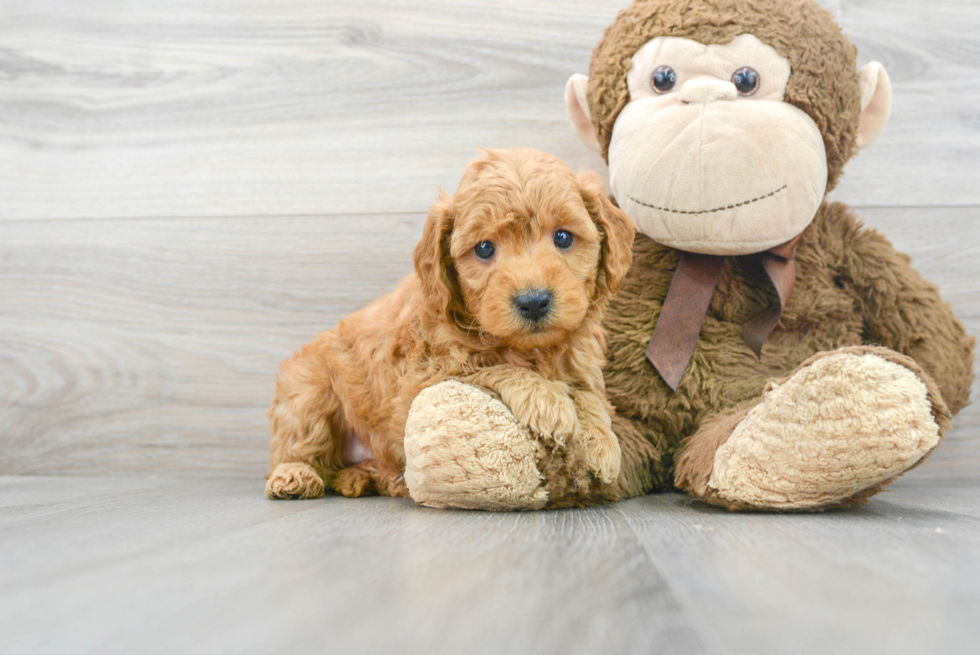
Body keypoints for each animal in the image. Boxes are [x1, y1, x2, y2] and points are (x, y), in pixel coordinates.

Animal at [266, 147, 636, 498]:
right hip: (308, 393)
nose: (533, 302)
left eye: (563, 238)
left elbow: (590, 395)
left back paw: (369, 478)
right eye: (484, 248)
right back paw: (294, 476)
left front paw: (603, 442)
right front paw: (547, 401)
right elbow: (493, 367)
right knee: (298, 446)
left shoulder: (581, 361)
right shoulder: (425, 377)